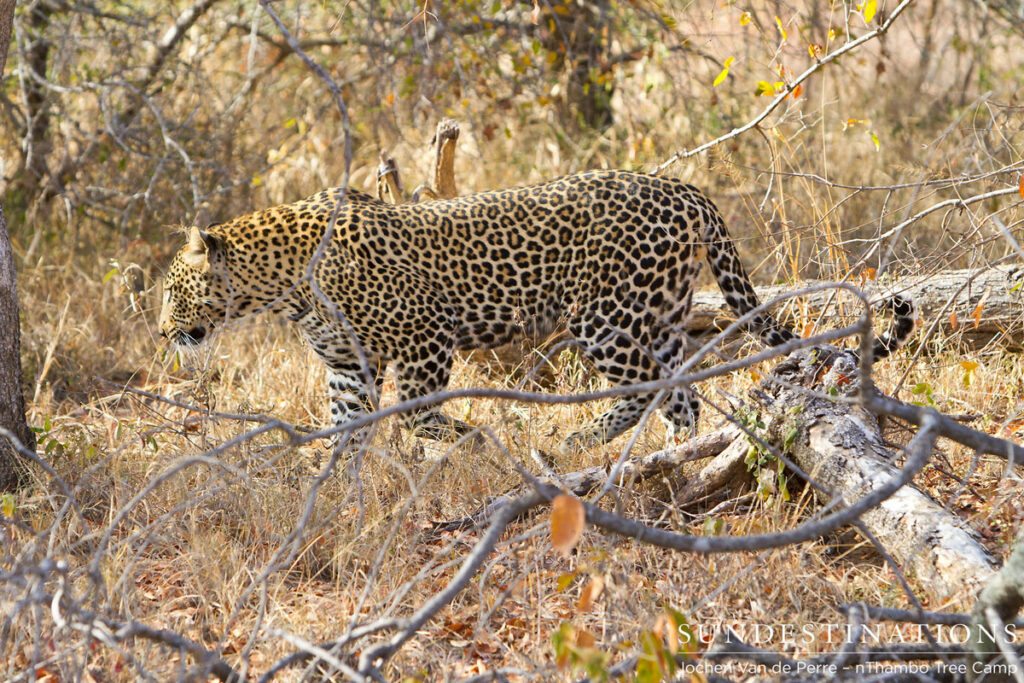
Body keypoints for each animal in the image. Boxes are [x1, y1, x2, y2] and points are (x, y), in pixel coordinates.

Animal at [159, 170, 916, 452]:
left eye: (170, 289)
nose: (164, 334)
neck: (280, 285)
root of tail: (681, 185)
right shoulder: (348, 364)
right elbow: (347, 427)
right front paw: (335, 488)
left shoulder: (425, 338)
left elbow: (421, 412)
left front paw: (471, 439)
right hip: (660, 315)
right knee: (680, 390)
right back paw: (669, 457)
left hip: (606, 315)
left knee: (643, 388)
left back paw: (574, 444)